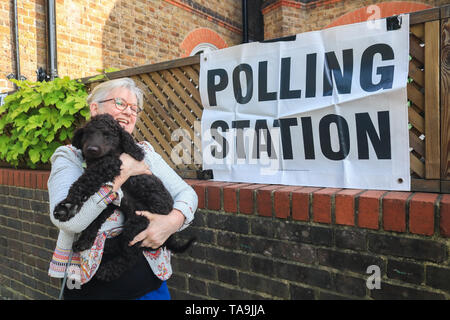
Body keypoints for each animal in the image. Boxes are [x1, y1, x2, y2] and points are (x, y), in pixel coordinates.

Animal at [52, 114, 193, 282]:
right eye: (88, 133)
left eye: (108, 135)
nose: (92, 149)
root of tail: (169, 236)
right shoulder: (110, 201)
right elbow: (95, 219)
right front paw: (84, 240)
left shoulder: (110, 164)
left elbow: (85, 180)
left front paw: (66, 206)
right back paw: (106, 245)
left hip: (139, 224)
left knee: (130, 255)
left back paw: (106, 270)